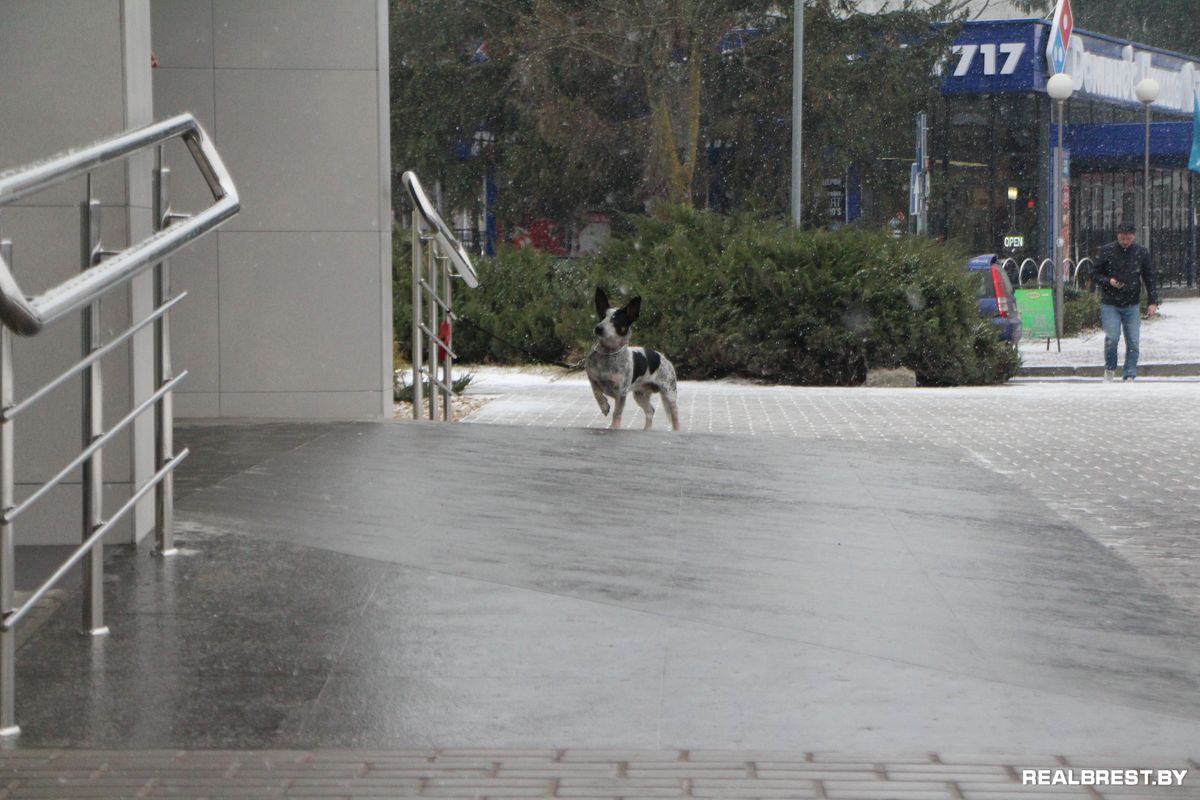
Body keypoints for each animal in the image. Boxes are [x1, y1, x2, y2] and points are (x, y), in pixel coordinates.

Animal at [585, 287, 681, 431]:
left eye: (616, 321)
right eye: (602, 317)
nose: (598, 328)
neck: (608, 354)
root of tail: (663, 357)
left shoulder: (621, 393)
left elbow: (617, 413)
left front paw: (614, 427)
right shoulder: (593, 379)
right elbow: (596, 392)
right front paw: (604, 406)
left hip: (670, 394)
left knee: (675, 416)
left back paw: (676, 430)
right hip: (640, 394)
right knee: (650, 411)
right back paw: (647, 430)